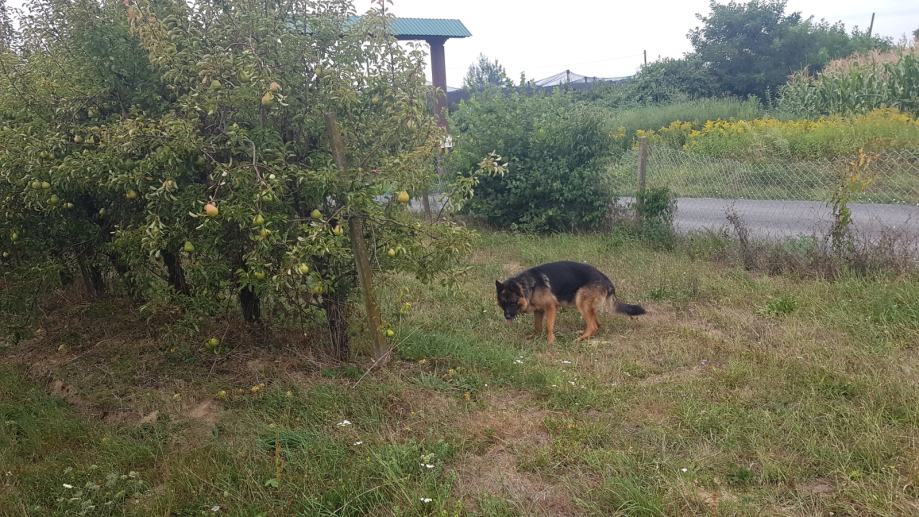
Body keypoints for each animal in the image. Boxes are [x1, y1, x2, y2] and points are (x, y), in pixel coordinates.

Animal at [495, 261, 645, 345]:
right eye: (503, 303)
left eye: (513, 303)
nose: (507, 316)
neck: (529, 286)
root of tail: (608, 282)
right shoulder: (539, 310)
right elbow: (537, 327)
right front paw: (534, 337)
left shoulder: (551, 307)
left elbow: (548, 326)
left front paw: (550, 342)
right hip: (587, 305)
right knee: (597, 324)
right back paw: (584, 335)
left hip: (581, 301)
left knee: (593, 325)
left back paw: (579, 339)